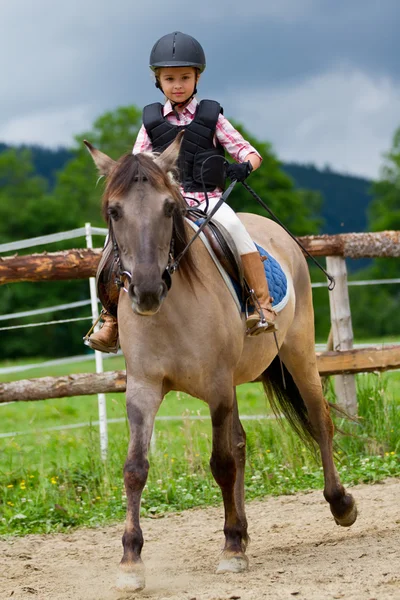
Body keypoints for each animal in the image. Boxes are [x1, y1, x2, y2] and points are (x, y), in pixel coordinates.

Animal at [84, 136, 356, 592]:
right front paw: (131, 562)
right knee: (243, 442)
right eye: (114, 211)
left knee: (319, 421)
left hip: (297, 353)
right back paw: (243, 530)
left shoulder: (216, 387)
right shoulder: (143, 389)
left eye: (169, 208)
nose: (146, 289)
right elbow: (135, 468)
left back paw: (340, 505)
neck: (170, 310)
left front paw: (230, 550)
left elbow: (222, 463)